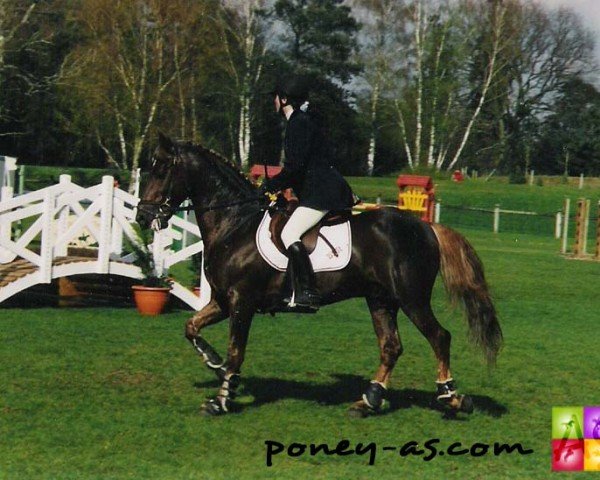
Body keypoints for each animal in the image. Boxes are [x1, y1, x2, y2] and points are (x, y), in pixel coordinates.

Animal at [136, 133, 502, 418]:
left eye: (161, 169)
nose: (142, 216)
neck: (235, 224)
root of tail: (427, 228)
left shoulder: (242, 302)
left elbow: (235, 351)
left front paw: (221, 400)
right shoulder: (224, 301)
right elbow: (191, 326)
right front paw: (213, 363)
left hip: (412, 298)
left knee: (439, 337)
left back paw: (451, 397)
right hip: (380, 299)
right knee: (391, 347)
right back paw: (369, 401)